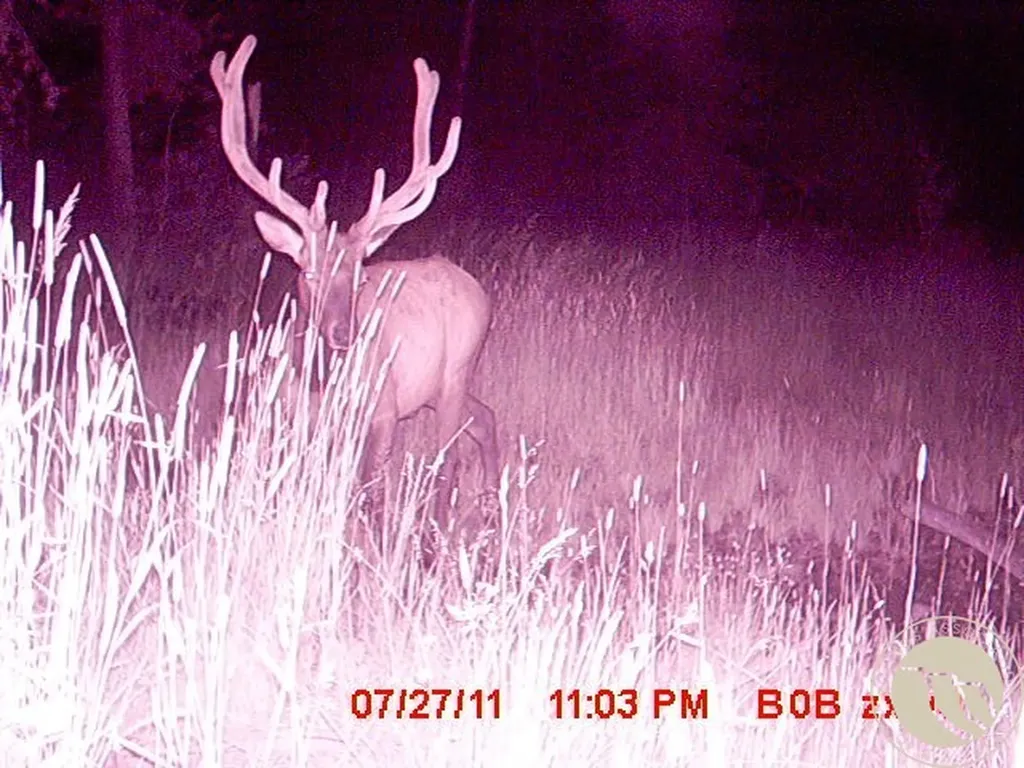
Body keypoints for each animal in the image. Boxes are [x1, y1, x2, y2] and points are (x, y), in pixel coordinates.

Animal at [210, 35, 499, 533]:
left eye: (362, 276)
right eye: (309, 271)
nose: (344, 334)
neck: (320, 384)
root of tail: (472, 285)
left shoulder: (381, 410)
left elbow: (367, 498)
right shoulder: (291, 417)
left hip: (456, 370)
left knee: (448, 455)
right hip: (439, 386)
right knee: (483, 418)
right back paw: (492, 503)